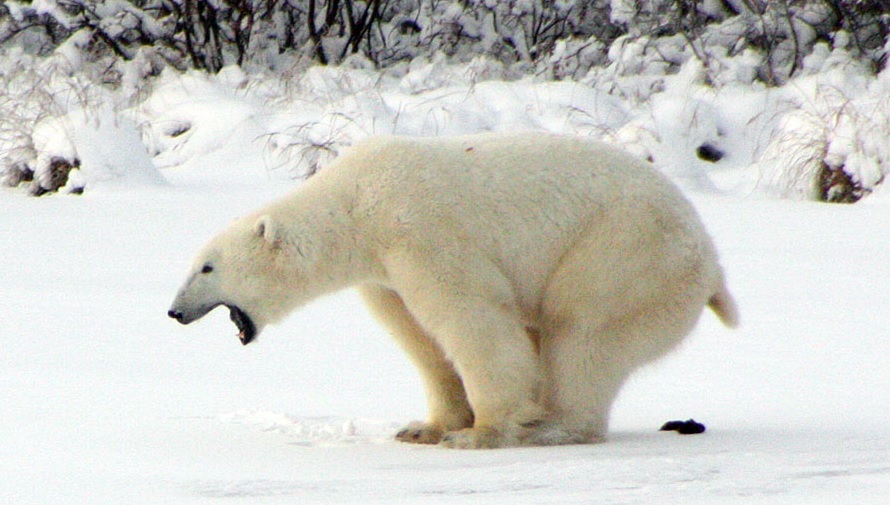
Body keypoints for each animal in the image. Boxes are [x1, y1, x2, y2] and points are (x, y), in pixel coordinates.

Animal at [168, 132, 738, 449]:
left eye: (207, 267)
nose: (173, 312)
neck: (355, 204)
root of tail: (711, 263)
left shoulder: (420, 229)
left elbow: (473, 318)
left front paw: (481, 432)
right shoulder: (384, 273)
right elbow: (420, 338)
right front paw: (424, 427)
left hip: (626, 252)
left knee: (582, 333)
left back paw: (552, 426)